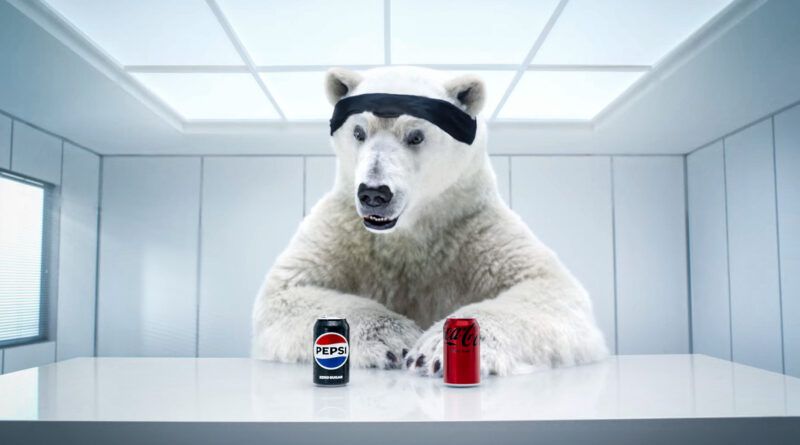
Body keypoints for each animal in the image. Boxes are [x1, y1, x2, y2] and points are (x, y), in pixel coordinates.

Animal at [252, 66, 608, 376]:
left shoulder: (472, 227)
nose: (374, 193)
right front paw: (397, 340)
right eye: (358, 131)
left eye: (416, 136)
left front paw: (434, 349)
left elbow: (550, 287)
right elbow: (287, 289)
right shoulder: (345, 229)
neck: (411, 228)